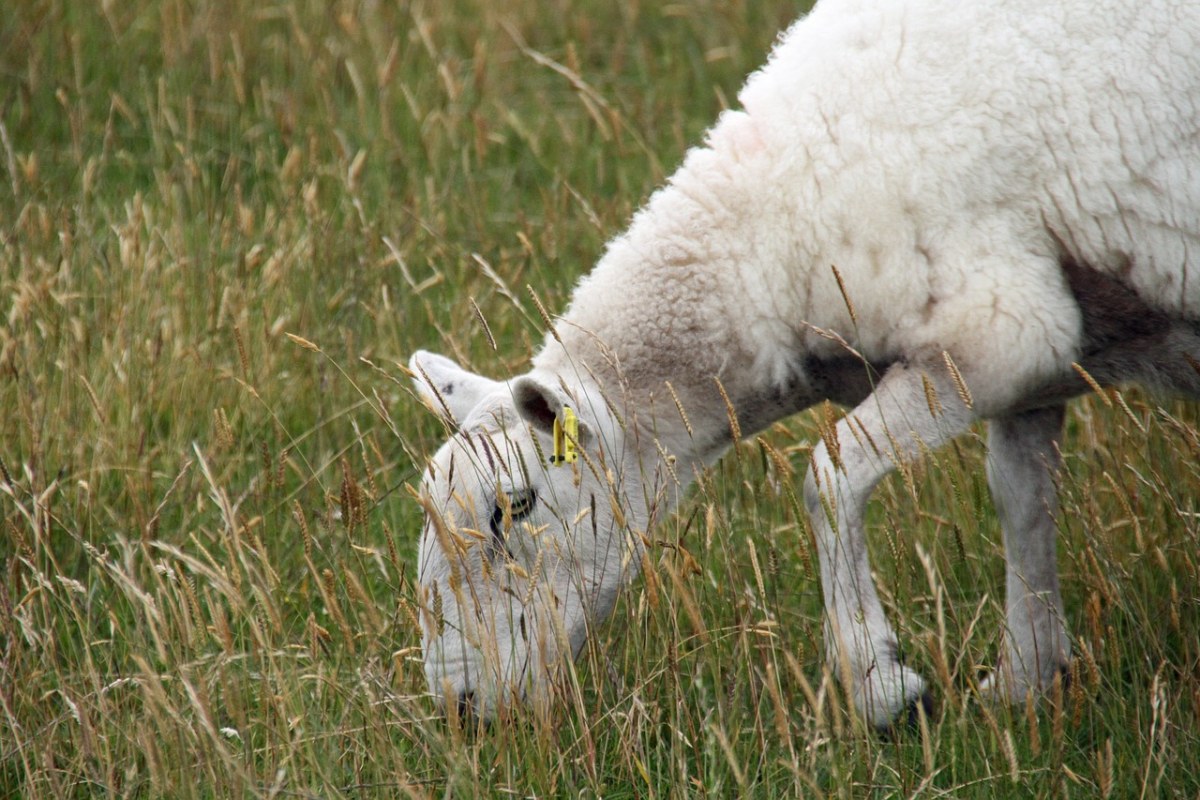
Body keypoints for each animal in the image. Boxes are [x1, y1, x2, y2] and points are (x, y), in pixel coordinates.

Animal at [405, 0, 1200, 734]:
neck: (768, 234)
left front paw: (885, 688)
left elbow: (829, 477)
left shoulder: (997, 330)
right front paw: (1026, 680)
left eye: (515, 507)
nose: (459, 707)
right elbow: (1023, 499)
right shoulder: (1036, 354)